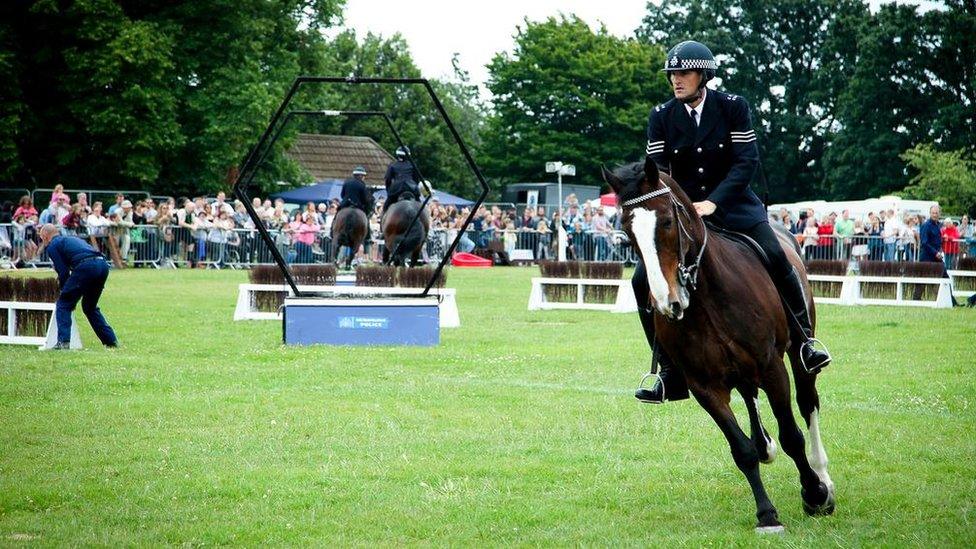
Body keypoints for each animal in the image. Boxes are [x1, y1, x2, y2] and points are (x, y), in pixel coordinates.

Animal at [604, 157, 840, 532]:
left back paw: (823, 479)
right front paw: (766, 513)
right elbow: (741, 450)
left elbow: (792, 435)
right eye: (628, 232)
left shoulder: (772, 367)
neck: (706, 297)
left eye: (667, 221)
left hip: (797, 355)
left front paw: (814, 494)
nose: (667, 302)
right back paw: (765, 445)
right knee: (750, 397)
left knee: (807, 404)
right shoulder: (704, 386)